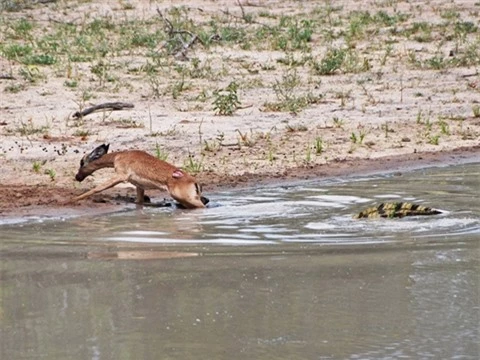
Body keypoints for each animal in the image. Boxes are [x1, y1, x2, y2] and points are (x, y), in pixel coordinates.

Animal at [72, 145, 207, 210]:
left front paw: (70, 200)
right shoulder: (139, 186)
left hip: (187, 199)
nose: (77, 177)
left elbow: (97, 188)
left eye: (81, 162)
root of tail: (194, 181)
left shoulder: (120, 176)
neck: (118, 156)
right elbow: (139, 201)